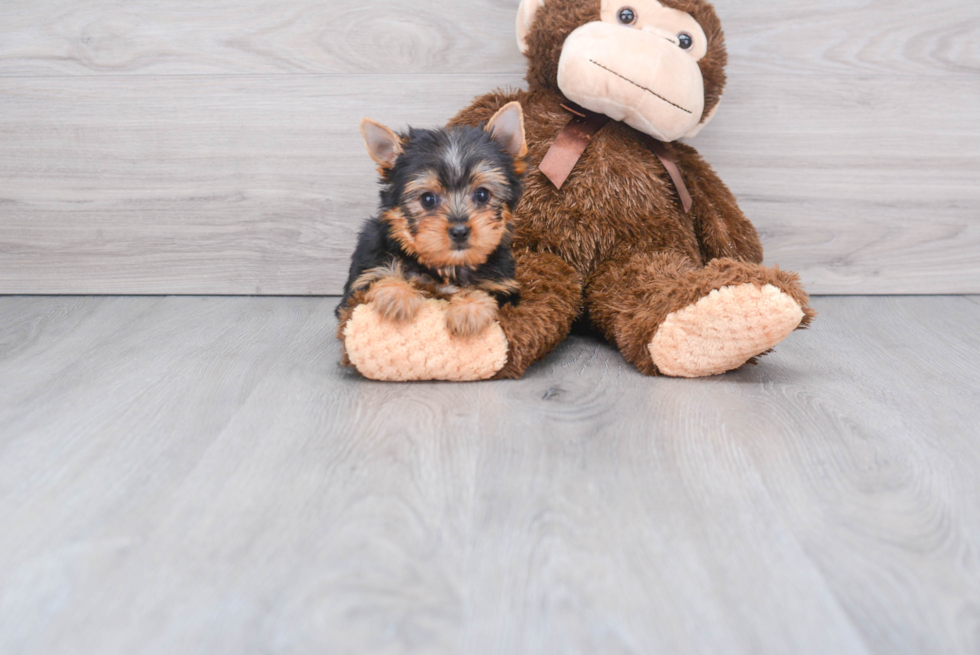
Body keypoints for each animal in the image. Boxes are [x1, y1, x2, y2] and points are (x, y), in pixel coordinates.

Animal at [336, 104, 528, 338]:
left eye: (482, 195)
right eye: (427, 199)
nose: (459, 231)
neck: (447, 267)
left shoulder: (504, 287)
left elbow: (485, 293)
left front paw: (469, 311)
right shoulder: (362, 277)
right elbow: (379, 278)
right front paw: (397, 296)